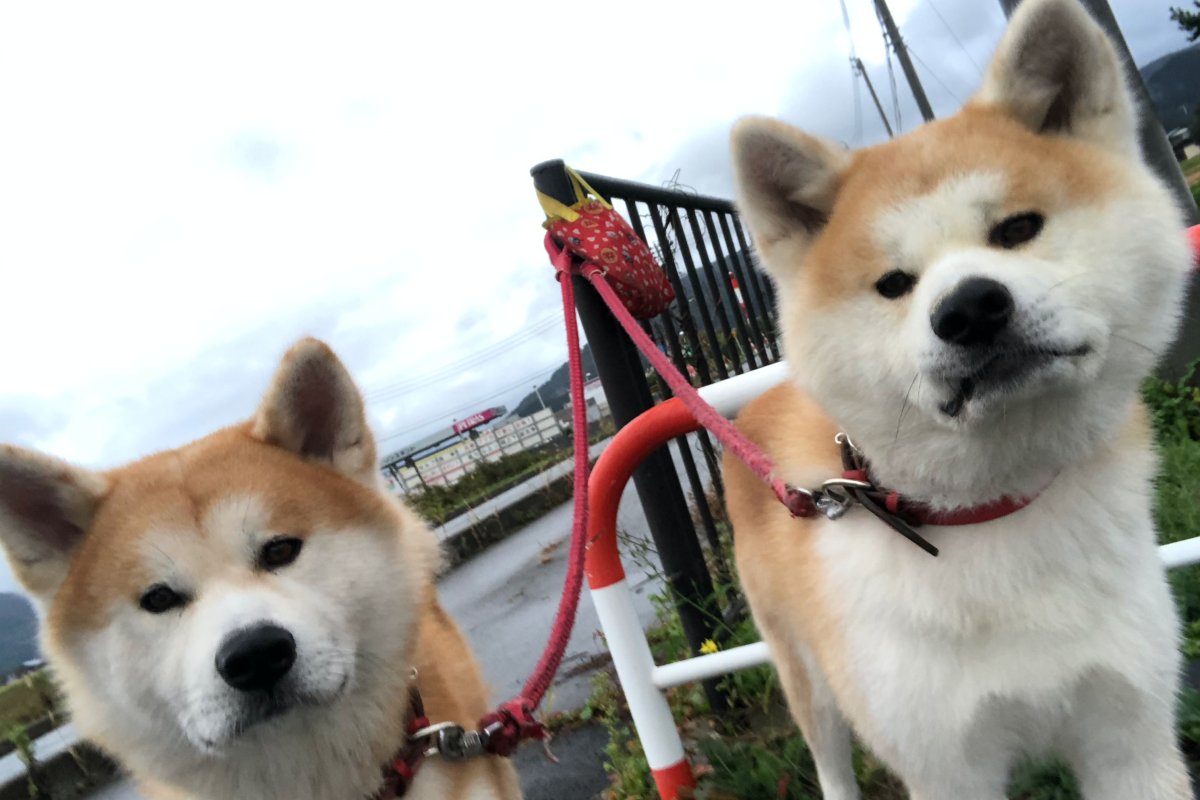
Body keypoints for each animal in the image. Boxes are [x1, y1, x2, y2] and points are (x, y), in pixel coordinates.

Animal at [724, 1, 1195, 800]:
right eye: (893, 284)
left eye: (1018, 228)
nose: (970, 309)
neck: (996, 514)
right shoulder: (944, 762)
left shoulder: (1131, 735)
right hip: (807, 676)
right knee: (829, 760)